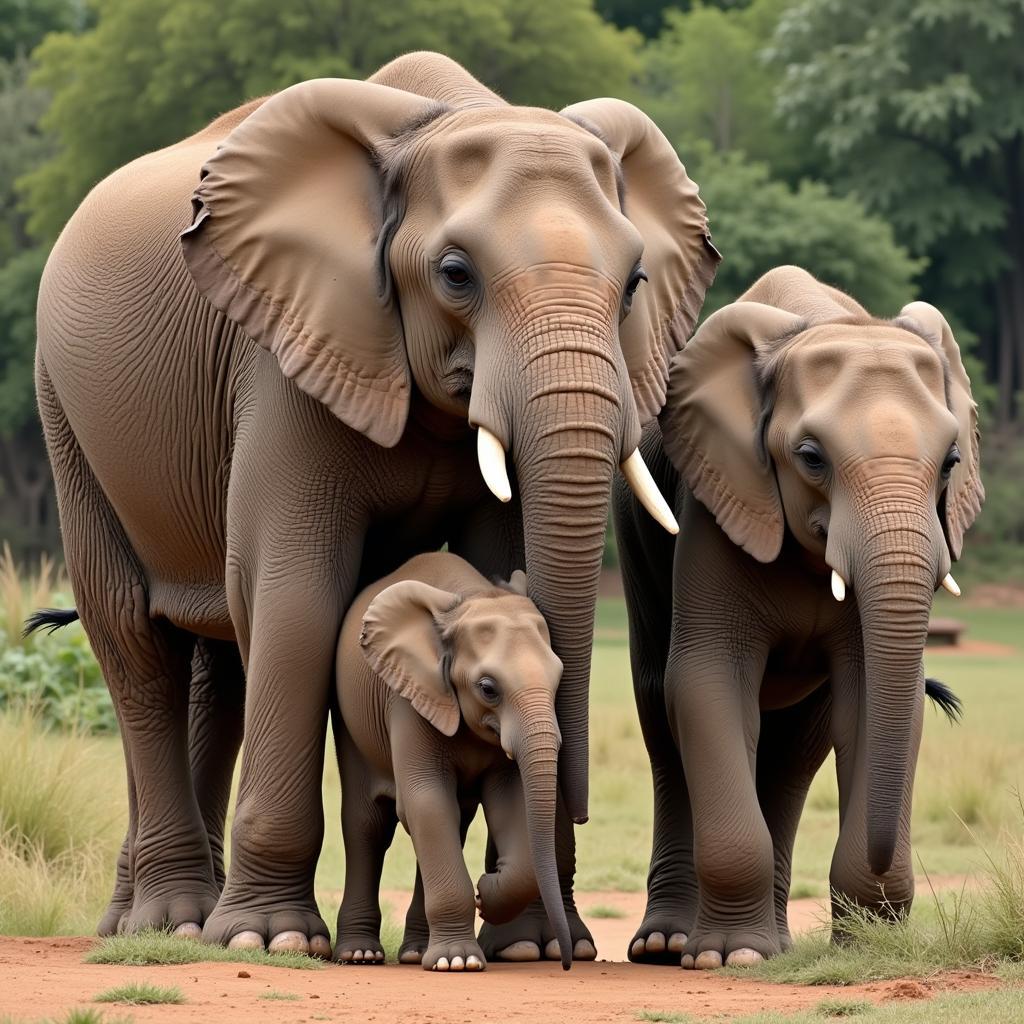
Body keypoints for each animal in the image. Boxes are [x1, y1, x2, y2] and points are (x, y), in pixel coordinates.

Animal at [335, 552, 577, 966]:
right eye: (488, 688)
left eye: (559, 678)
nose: (564, 963)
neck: (472, 596)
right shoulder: (409, 695)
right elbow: (426, 798)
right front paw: (457, 962)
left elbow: (508, 801)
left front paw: (486, 893)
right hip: (350, 722)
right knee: (368, 823)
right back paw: (360, 954)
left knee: (455, 820)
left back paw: (416, 952)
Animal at [610, 264, 978, 966]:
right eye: (810, 457)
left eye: (950, 461)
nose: (888, 884)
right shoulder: (717, 498)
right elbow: (706, 680)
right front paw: (728, 957)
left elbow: (869, 701)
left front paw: (863, 946)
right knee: (659, 710)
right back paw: (671, 944)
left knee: (794, 754)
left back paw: (775, 946)